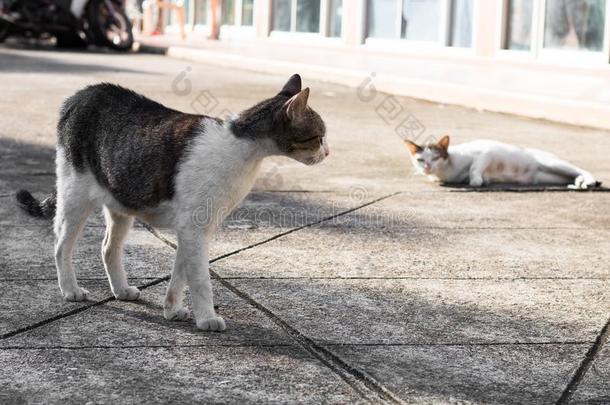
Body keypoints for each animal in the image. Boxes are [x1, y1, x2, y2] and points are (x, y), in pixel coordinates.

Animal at [15, 74, 328, 330]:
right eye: (319, 136)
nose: (328, 153)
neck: (242, 150)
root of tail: (80, 95)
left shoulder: (194, 231)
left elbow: (181, 274)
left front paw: (172, 309)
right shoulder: (194, 230)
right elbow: (200, 279)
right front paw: (207, 318)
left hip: (121, 201)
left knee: (108, 248)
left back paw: (122, 290)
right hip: (75, 195)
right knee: (61, 245)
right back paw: (70, 290)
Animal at [404, 134, 600, 188]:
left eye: (435, 157)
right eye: (420, 160)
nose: (427, 167)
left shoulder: (486, 152)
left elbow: (475, 168)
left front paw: (476, 181)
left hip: (552, 164)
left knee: (580, 169)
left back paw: (589, 180)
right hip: (549, 176)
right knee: (572, 176)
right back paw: (580, 182)